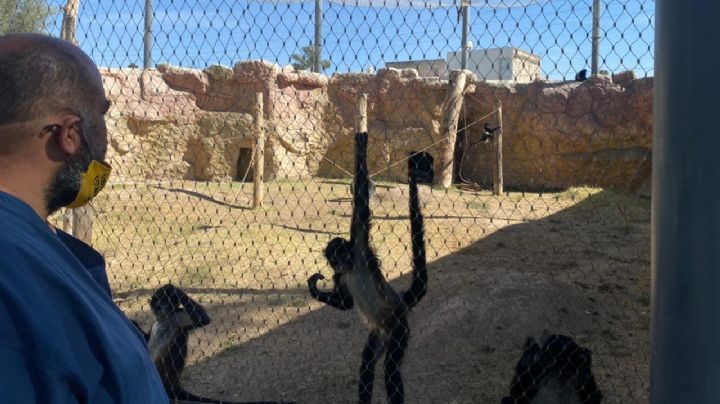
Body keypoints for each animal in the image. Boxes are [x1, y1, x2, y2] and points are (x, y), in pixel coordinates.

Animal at [140, 284, 292, 404]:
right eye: (161, 302)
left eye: (168, 303)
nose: (164, 307)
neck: (163, 320)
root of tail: (174, 386)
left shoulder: (177, 316)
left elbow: (202, 319)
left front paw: (173, 288)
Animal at [307, 132, 427, 404]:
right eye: (332, 258)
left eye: (341, 253)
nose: (337, 261)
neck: (352, 267)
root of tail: (401, 305)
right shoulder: (339, 275)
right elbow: (347, 303)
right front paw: (313, 289)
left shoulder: (360, 245)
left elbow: (361, 202)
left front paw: (361, 149)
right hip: (379, 334)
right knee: (367, 363)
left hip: (397, 329)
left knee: (391, 368)